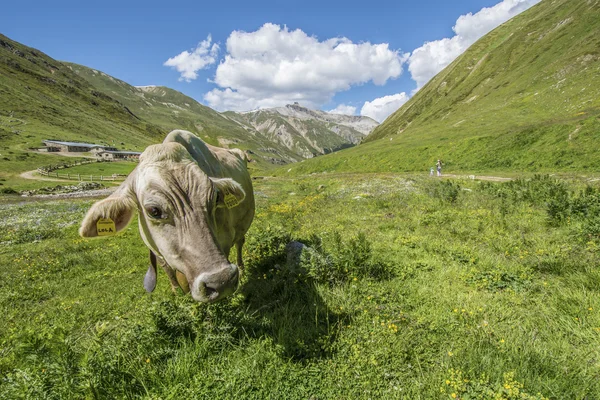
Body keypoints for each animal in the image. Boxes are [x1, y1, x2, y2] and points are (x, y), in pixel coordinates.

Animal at [78, 131, 254, 304]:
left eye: (216, 198)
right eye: (153, 211)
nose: (221, 281)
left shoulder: (226, 239)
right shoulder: (156, 251)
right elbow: (169, 272)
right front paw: (177, 294)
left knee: (240, 244)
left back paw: (242, 269)